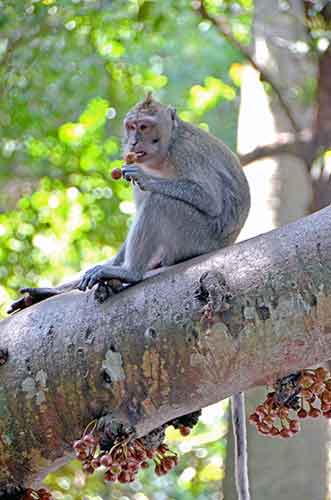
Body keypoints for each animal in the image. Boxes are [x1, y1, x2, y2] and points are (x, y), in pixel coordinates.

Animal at [7, 94, 252, 500]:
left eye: (146, 126)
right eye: (132, 126)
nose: (134, 142)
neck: (164, 153)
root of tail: (224, 246)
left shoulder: (185, 155)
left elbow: (205, 197)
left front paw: (146, 178)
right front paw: (57, 287)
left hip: (195, 237)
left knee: (161, 203)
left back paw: (130, 274)